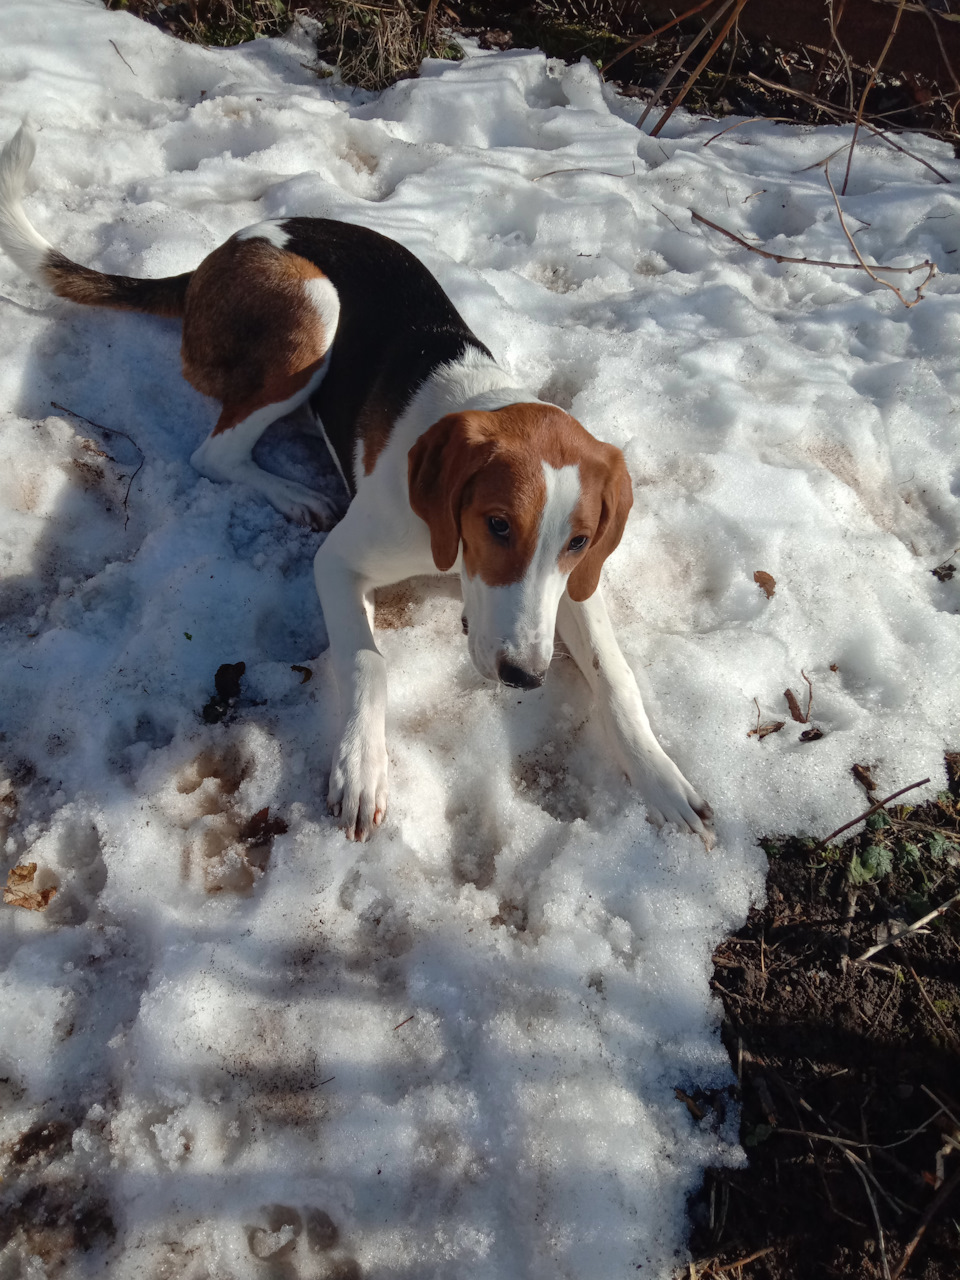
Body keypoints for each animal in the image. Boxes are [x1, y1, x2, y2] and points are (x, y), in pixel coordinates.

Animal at [0, 124, 716, 849]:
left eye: (578, 543)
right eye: (497, 523)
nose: (525, 677)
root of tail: (212, 258)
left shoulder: (574, 587)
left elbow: (615, 675)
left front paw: (661, 777)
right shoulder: (340, 564)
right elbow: (369, 664)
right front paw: (361, 769)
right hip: (316, 308)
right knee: (215, 452)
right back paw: (295, 494)